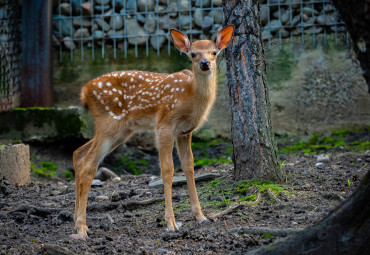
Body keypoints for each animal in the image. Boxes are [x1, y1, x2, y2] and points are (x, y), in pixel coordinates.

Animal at [70, 24, 234, 239]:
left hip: (121, 130)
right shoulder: (164, 125)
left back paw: (77, 222)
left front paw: (201, 217)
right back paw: (81, 228)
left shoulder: (185, 132)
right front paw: (171, 223)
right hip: (109, 122)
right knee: (89, 165)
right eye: (193, 54)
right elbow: (167, 170)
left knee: (78, 153)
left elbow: (189, 166)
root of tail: (84, 92)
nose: (205, 63)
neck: (189, 97)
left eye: (214, 52)